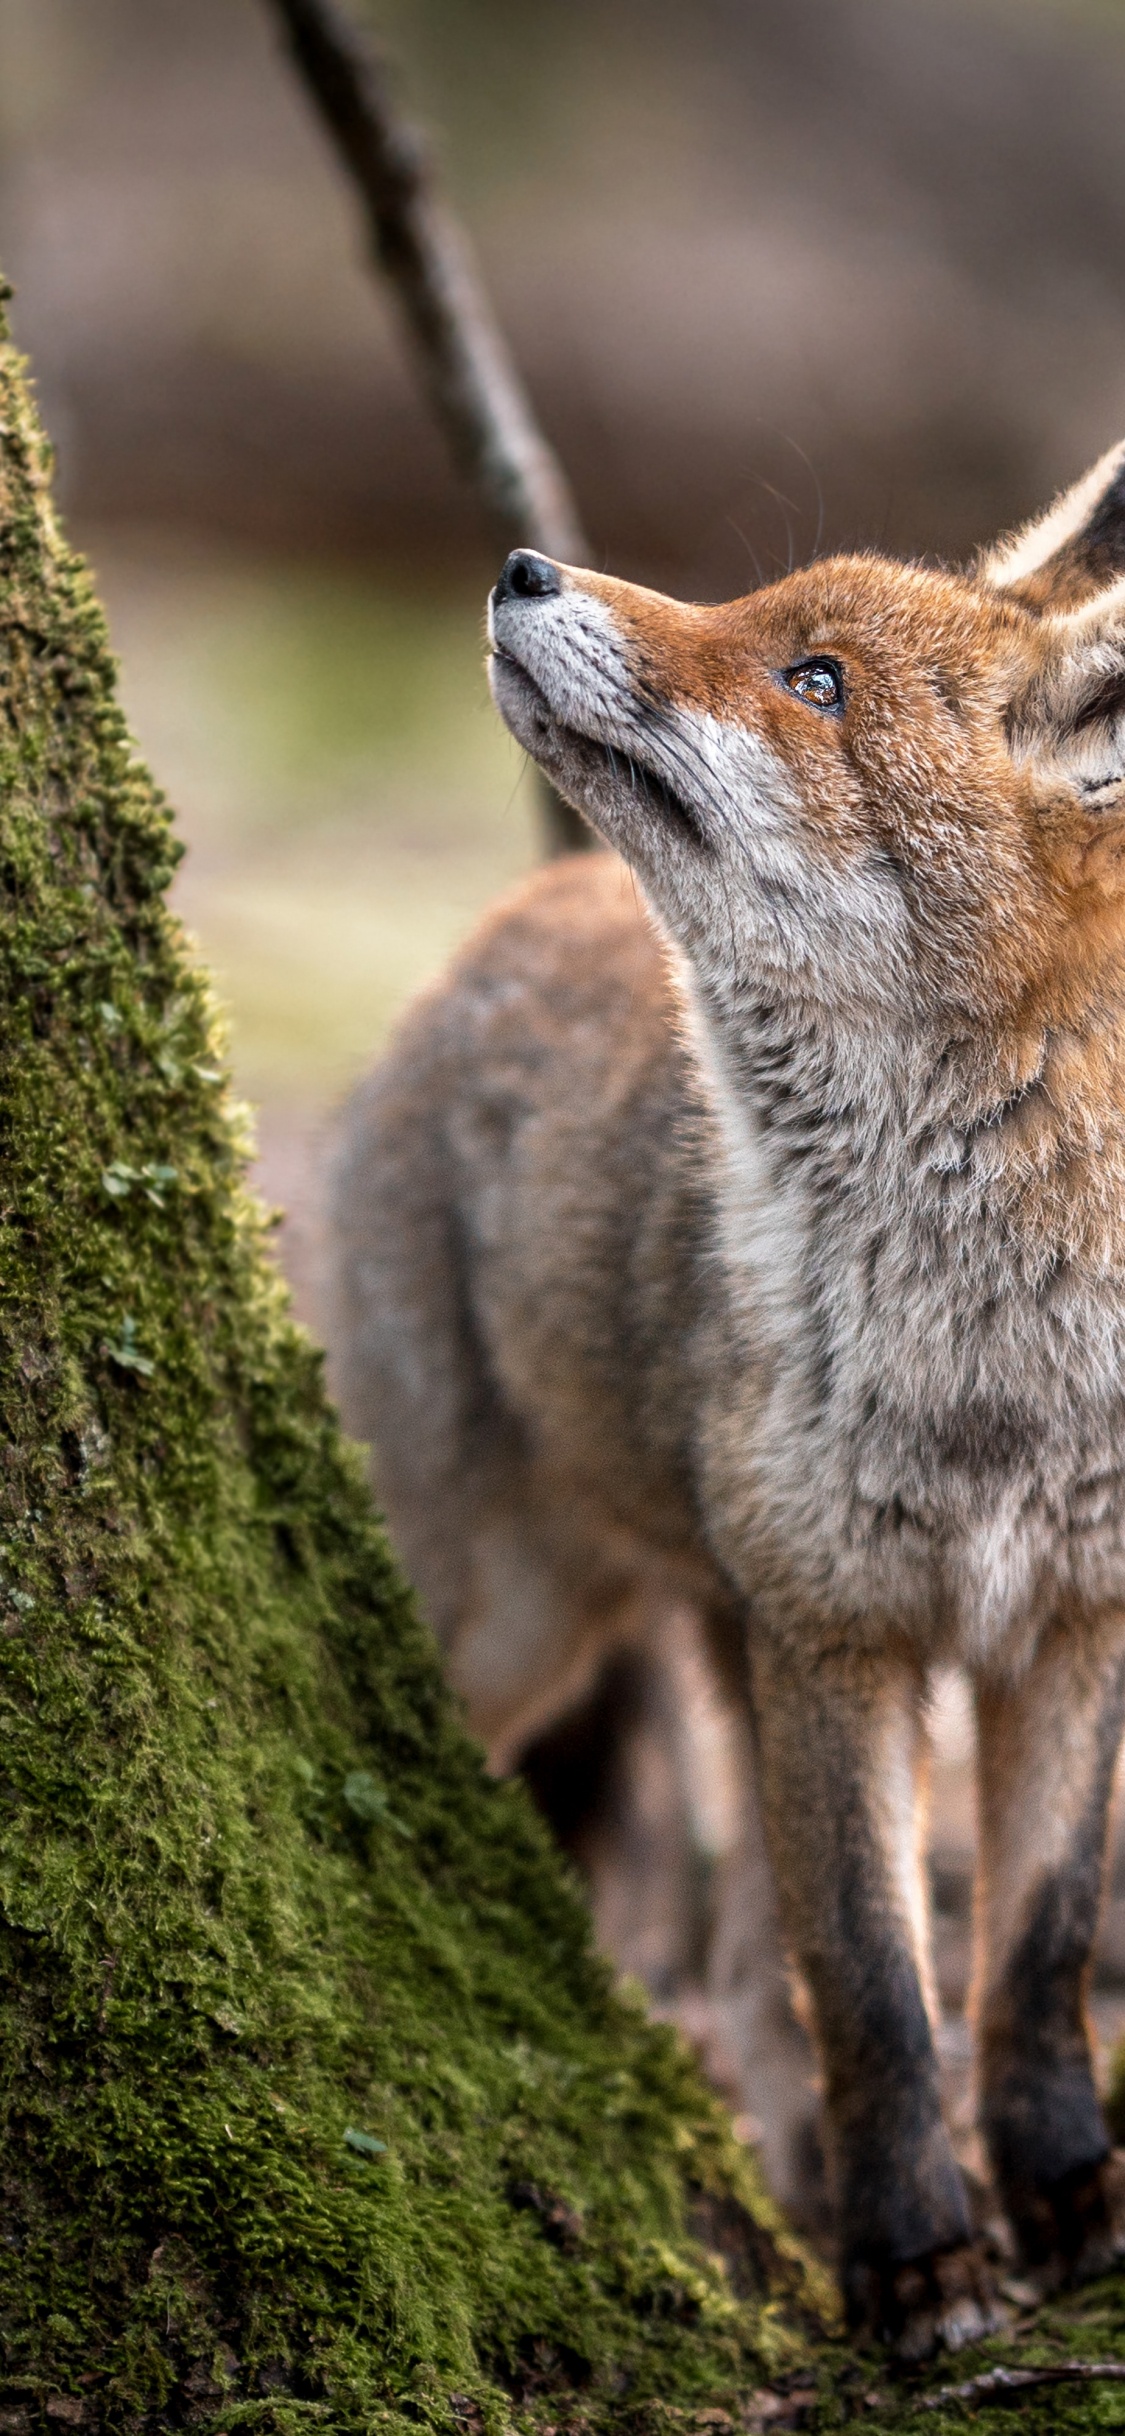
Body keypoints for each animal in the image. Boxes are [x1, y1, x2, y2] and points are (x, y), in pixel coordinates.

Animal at [328, 443, 1125, 2357]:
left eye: (815, 681)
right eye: (771, 626)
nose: (524, 569)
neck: (983, 1351)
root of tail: (505, 914)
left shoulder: (1070, 1616)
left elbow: (1034, 1953)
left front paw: (1062, 2198)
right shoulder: (832, 1630)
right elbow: (873, 1988)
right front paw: (916, 2264)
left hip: (706, 1626)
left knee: (739, 1987)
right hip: (514, 1624)